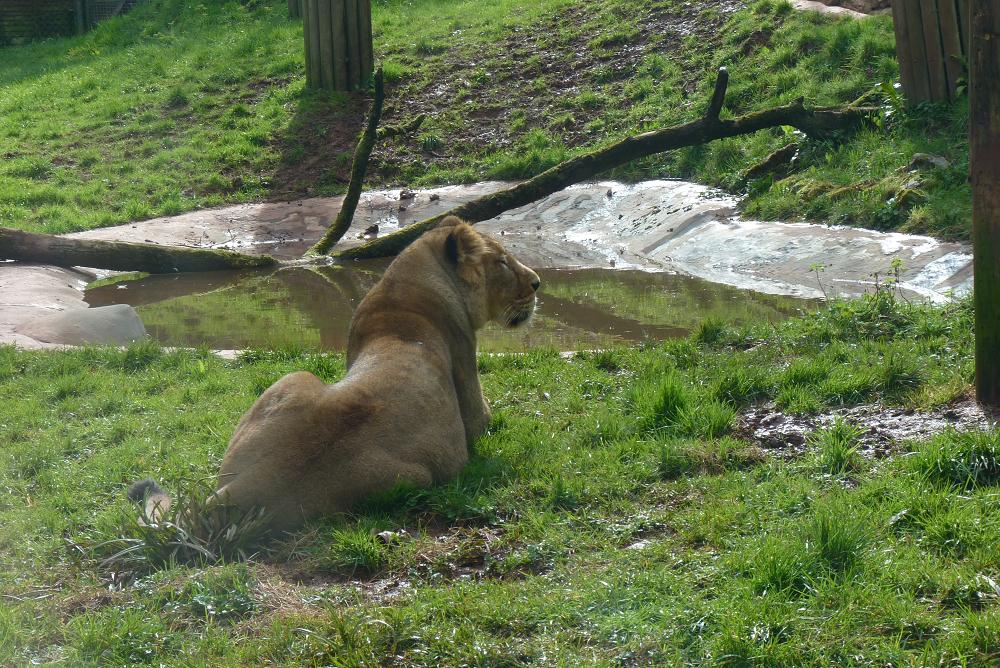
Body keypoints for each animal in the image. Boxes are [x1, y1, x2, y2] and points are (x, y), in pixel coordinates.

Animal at [129, 216, 540, 532]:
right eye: (503, 263)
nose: (537, 282)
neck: (404, 293)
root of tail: (255, 484)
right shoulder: (470, 395)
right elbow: (486, 416)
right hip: (409, 470)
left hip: (292, 383)